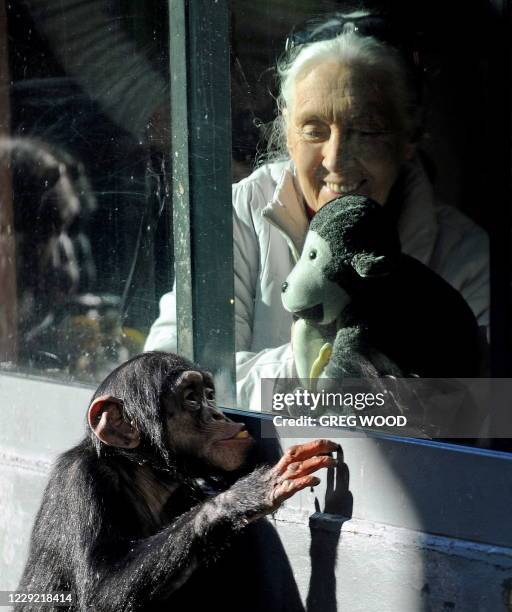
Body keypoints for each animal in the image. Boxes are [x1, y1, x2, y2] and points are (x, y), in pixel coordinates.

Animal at [18, 352, 338, 608]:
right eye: (191, 398)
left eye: (209, 394)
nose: (219, 414)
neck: (143, 473)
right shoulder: (80, 481)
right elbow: (101, 591)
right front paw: (245, 495)